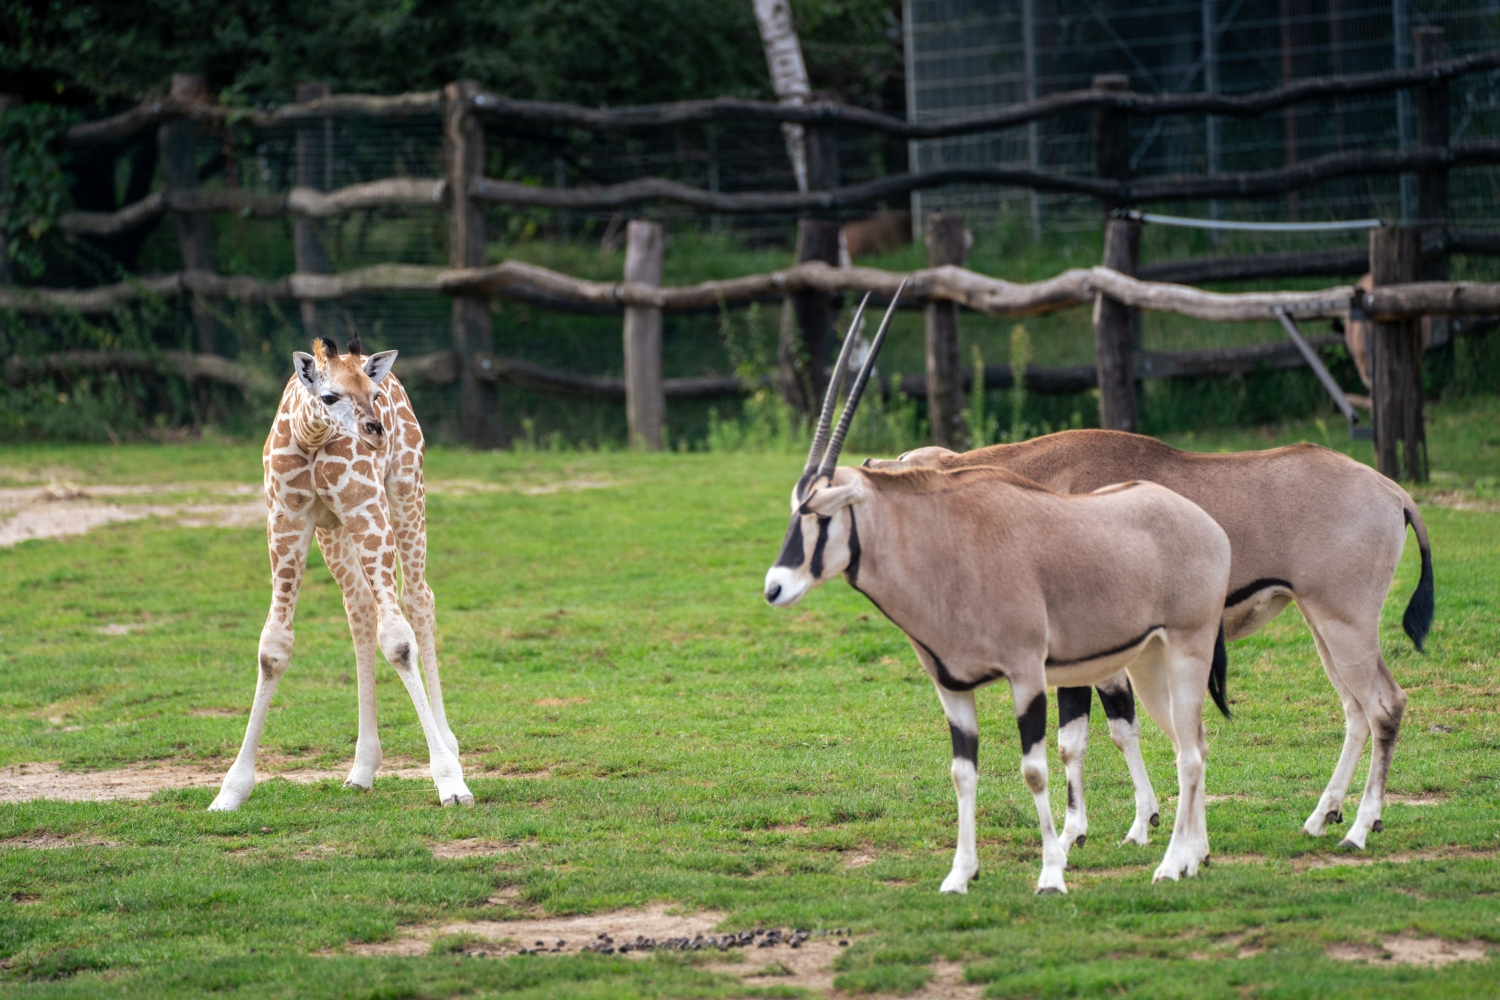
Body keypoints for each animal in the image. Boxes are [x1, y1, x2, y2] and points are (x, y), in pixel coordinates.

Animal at [762, 287, 1230, 893]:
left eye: (822, 512)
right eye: (793, 510)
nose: (775, 587)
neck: (951, 550)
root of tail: (1201, 520)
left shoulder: (1028, 676)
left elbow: (1036, 768)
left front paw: (1053, 870)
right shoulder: (953, 686)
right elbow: (963, 773)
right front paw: (961, 873)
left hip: (1185, 650)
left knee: (1187, 751)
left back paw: (1170, 861)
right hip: (1150, 661)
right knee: (1187, 739)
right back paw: (1193, 855)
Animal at [876, 431, 1434, 851]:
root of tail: (1393, 492)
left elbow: (1077, 740)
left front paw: (1080, 832)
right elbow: (1120, 730)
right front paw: (1143, 823)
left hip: (1345, 622)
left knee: (1384, 705)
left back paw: (1359, 829)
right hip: (1322, 626)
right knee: (1356, 711)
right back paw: (1324, 816)